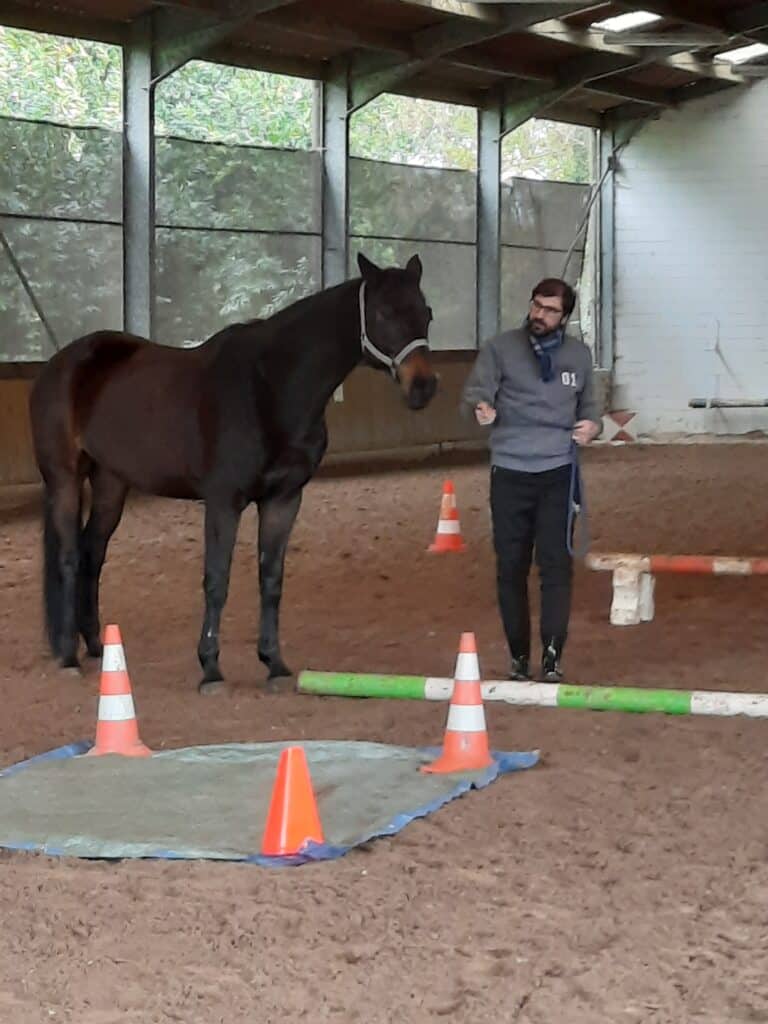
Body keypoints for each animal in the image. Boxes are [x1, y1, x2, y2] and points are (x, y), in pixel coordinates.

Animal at [29, 252, 438, 693]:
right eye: (383, 313)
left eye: (426, 313)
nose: (423, 386)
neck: (269, 387)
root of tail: (60, 365)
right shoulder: (224, 501)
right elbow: (216, 579)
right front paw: (210, 669)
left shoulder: (283, 499)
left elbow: (271, 579)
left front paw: (274, 663)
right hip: (65, 479)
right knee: (70, 555)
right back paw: (69, 656)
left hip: (110, 483)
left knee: (93, 552)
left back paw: (95, 645)